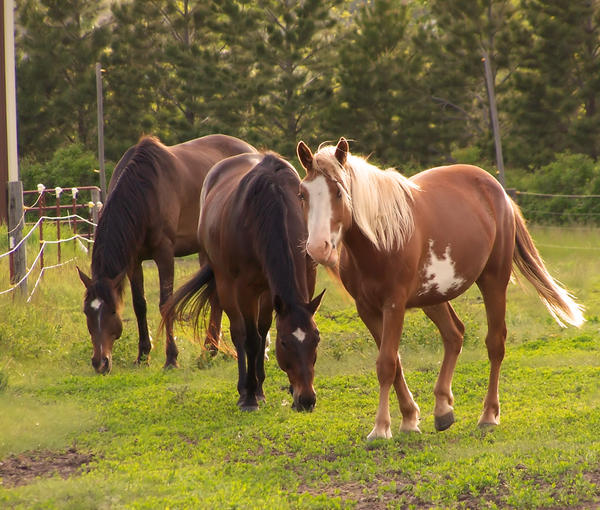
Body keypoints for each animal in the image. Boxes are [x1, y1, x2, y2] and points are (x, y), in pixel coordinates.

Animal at [77, 134, 255, 374]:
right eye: (87, 312)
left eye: (113, 311)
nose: (100, 362)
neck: (145, 191)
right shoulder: (134, 261)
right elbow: (139, 305)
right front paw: (143, 355)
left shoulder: (164, 253)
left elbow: (165, 304)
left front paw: (171, 358)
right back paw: (209, 351)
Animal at [162, 151, 324, 410]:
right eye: (285, 343)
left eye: (316, 339)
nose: (307, 399)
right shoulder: (246, 289)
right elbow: (251, 340)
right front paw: (250, 396)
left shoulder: (295, 282)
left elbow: (263, 330)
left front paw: (264, 389)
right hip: (225, 284)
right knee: (239, 332)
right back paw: (244, 389)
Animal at [298, 137, 584, 440]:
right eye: (302, 194)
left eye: (339, 192)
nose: (318, 248)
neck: (381, 240)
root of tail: (498, 191)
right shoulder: (367, 309)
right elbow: (395, 362)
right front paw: (409, 419)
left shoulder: (394, 304)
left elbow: (386, 364)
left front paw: (381, 427)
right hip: (433, 296)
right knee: (454, 335)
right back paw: (443, 409)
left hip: (493, 281)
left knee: (495, 344)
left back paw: (488, 415)